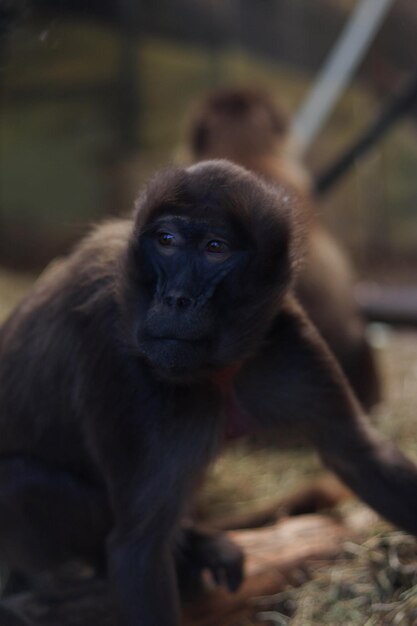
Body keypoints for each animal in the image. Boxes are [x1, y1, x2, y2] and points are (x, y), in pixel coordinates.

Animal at [0, 160, 416, 624]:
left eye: (215, 248)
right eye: (166, 241)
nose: (176, 298)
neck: (214, 369)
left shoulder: (283, 335)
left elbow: (359, 456)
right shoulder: (129, 370)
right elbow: (139, 549)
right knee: (18, 483)